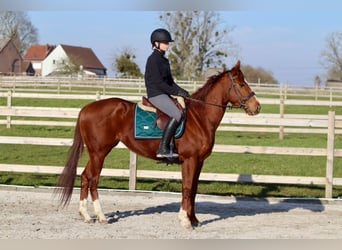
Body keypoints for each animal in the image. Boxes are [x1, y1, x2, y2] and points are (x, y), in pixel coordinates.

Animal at [56, 60, 260, 229]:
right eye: (241, 84)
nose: (257, 107)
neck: (199, 117)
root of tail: (86, 108)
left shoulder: (199, 161)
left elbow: (193, 190)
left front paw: (194, 219)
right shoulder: (189, 160)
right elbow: (187, 188)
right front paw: (185, 221)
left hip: (95, 153)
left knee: (85, 177)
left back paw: (86, 215)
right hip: (99, 152)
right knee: (93, 179)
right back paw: (101, 216)